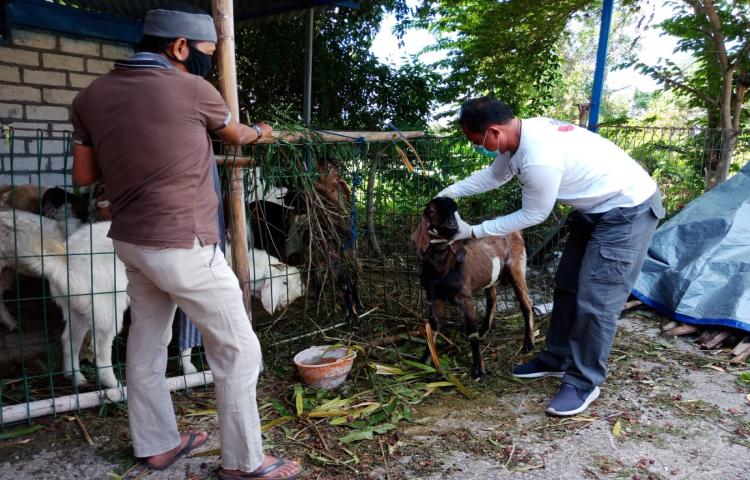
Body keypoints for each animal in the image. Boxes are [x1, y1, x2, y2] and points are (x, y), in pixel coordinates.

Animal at [0, 212, 128, 388]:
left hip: (79, 308)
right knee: (99, 347)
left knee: (69, 340)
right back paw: (113, 384)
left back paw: (75, 377)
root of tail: (65, 262)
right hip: (109, 308)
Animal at [412, 197, 536, 380]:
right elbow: (434, 328)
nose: (452, 225)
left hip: (517, 268)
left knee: (526, 303)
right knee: (492, 299)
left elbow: (471, 331)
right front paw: (423, 362)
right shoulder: (434, 297)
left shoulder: (465, 296)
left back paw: (529, 343)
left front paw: (478, 370)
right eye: (432, 211)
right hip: (491, 277)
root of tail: (517, 233)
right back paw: (484, 331)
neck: (443, 267)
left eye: (455, 210)